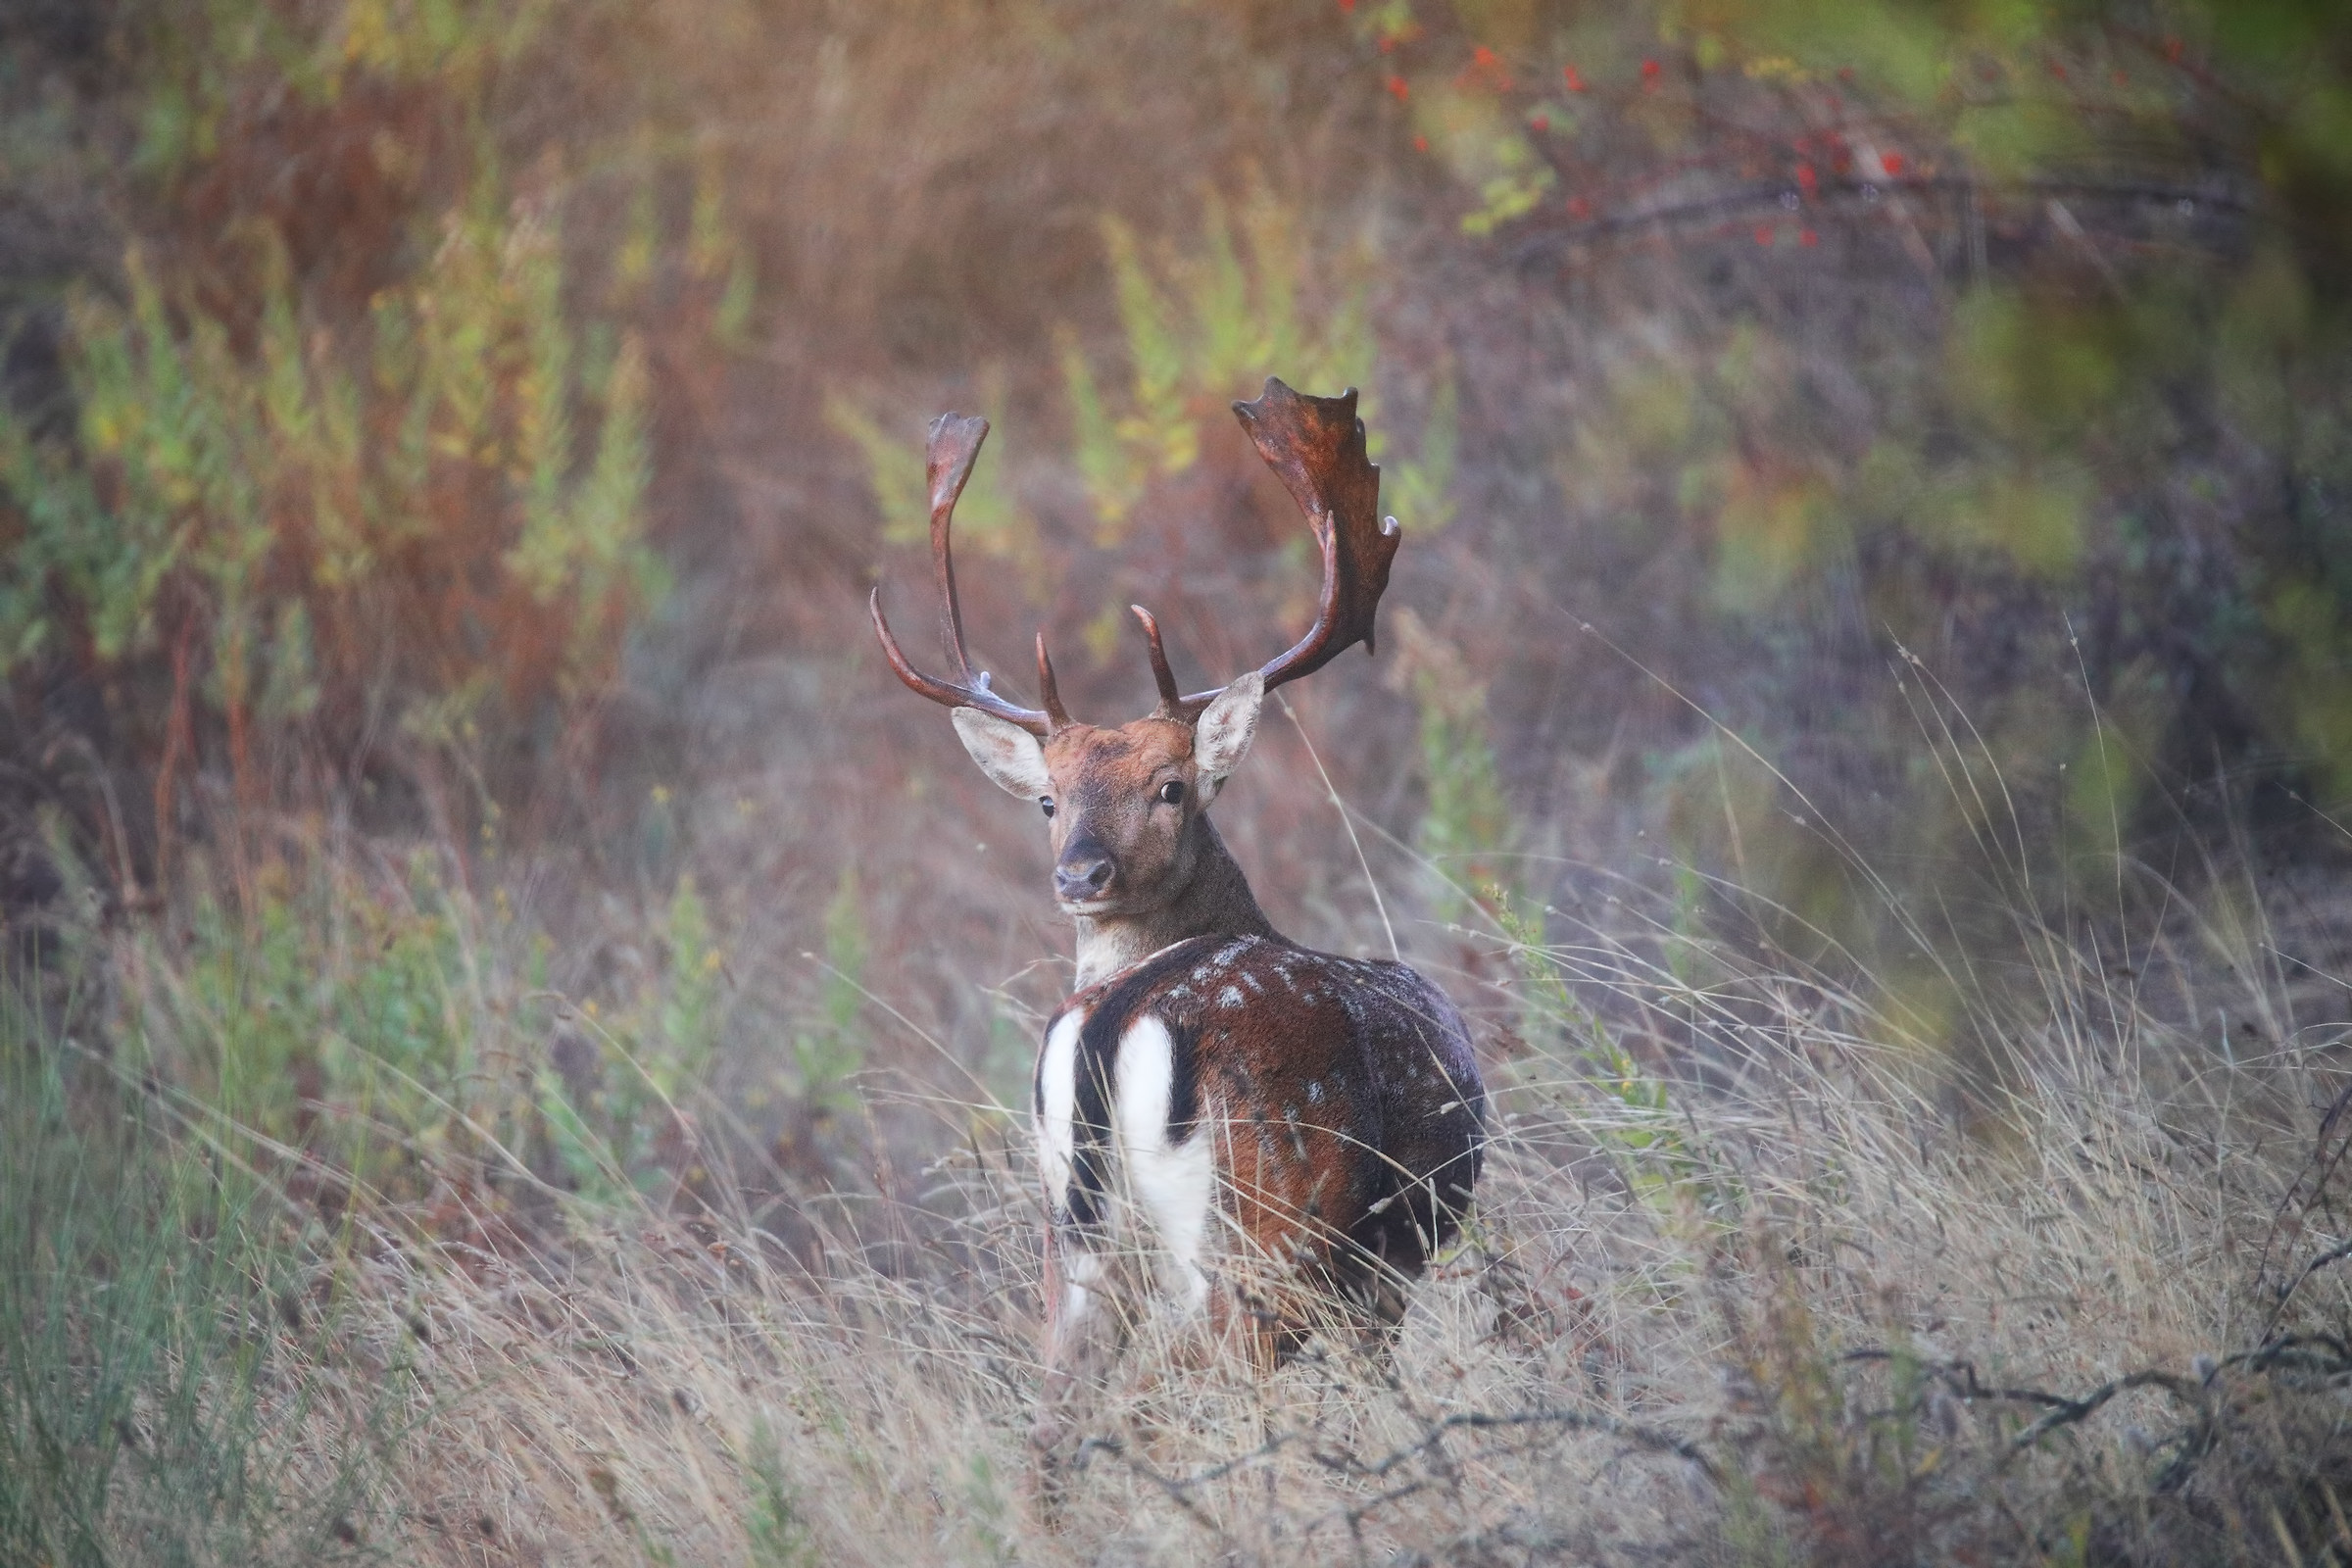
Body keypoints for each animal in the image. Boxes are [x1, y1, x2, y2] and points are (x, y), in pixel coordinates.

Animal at [870, 378, 1486, 1459]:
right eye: (1048, 799)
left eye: (1168, 787)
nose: (1081, 871)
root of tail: (1113, 1024)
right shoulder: (1384, 1268)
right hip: (1268, 1227)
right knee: (1179, 1396)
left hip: (1072, 1237)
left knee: (1056, 1424)